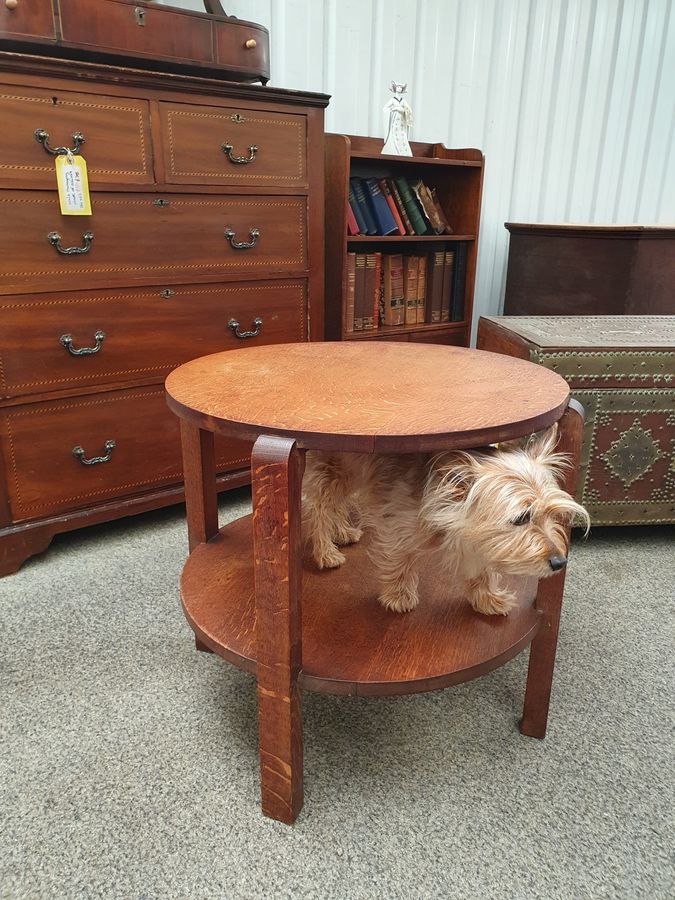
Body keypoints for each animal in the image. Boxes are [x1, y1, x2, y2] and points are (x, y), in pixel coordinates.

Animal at [304, 428, 588, 612]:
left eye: (552, 514)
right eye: (521, 518)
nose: (559, 562)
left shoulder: (480, 538)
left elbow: (483, 568)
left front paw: (487, 599)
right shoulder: (398, 521)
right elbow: (400, 557)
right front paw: (398, 595)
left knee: (336, 504)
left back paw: (342, 532)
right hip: (334, 468)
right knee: (318, 508)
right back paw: (326, 551)